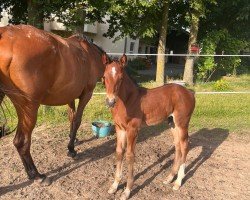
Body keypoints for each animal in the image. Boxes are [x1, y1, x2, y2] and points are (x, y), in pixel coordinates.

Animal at [101, 54, 195, 199]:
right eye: (105, 77)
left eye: (121, 78)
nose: (110, 101)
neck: (128, 100)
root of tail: (190, 92)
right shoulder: (119, 129)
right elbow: (119, 152)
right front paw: (114, 186)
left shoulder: (133, 130)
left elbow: (130, 155)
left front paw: (127, 191)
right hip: (172, 123)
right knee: (178, 146)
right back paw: (169, 178)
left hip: (182, 123)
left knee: (185, 146)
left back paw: (178, 182)